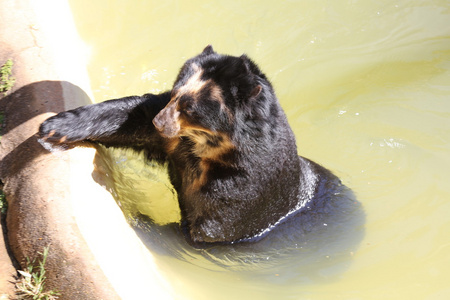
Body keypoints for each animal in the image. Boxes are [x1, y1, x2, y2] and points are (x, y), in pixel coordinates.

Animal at [38, 45, 348, 245]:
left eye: (190, 108)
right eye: (175, 93)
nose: (160, 122)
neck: (210, 150)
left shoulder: (241, 190)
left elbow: (211, 231)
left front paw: (141, 219)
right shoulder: (175, 143)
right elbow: (133, 116)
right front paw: (54, 127)